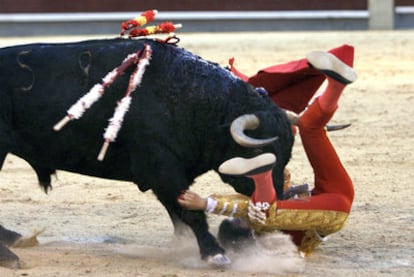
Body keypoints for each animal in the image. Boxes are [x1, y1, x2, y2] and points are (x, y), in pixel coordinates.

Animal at [0, 38, 294, 260]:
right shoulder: (160, 167)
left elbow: (178, 213)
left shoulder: (166, 173)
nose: (274, 200)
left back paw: (15, 239)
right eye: (255, 154)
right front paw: (214, 253)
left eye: (287, 155)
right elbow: (189, 212)